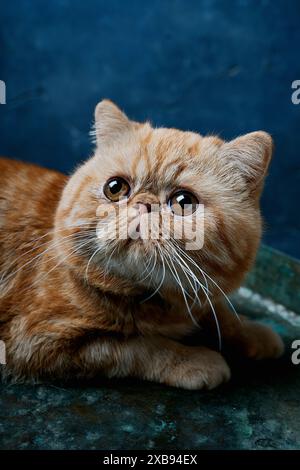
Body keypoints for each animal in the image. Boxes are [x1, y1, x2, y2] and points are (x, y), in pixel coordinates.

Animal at [0, 102, 284, 390]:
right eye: (115, 188)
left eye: (183, 201)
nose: (143, 204)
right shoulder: (40, 341)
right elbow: (142, 347)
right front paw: (196, 360)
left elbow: (220, 315)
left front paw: (253, 332)